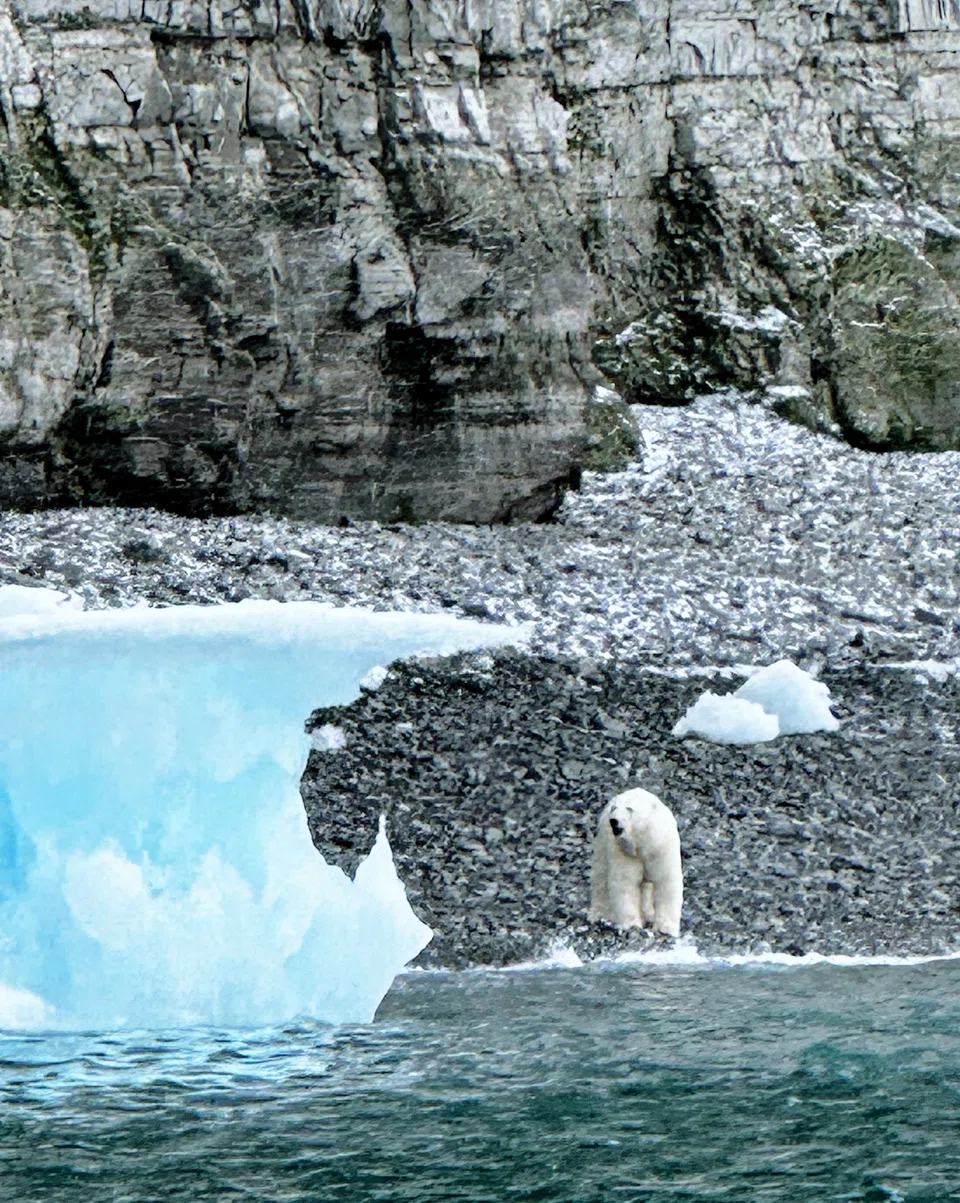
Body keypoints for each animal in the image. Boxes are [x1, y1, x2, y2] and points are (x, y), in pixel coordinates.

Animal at [589, 788, 683, 937]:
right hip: (602, 841)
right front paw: (632, 925)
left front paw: (666, 928)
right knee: (601, 875)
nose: (613, 821)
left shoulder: (662, 848)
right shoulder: (623, 851)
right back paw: (599, 915)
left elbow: (667, 882)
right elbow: (625, 883)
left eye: (630, 808)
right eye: (614, 808)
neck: (644, 844)